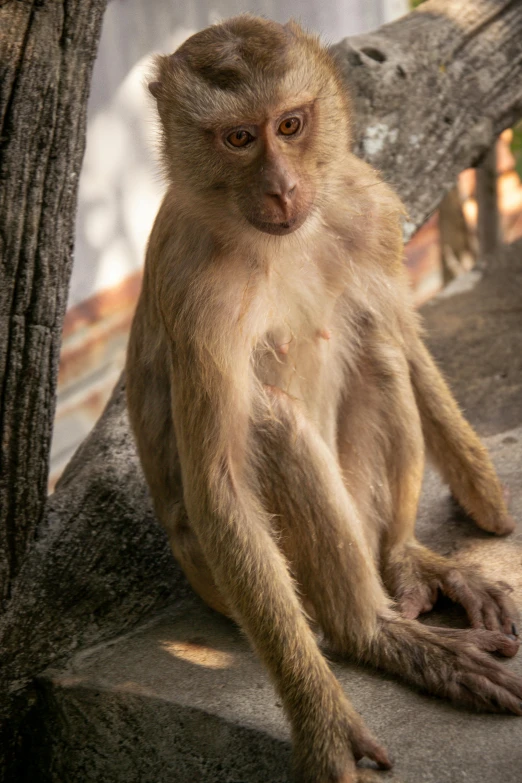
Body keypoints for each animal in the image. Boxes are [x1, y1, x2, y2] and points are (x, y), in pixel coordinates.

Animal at [126, 16, 520, 783]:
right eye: (238, 138)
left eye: (290, 124)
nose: (282, 188)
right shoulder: (195, 290)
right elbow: (221, 483)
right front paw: (321, 719)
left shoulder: (366, 200)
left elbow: (398, 327)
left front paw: (482, 489)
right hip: (223, 580)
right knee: (273, 424)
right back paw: (373, 632)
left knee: (379, 351)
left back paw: (406, 559)